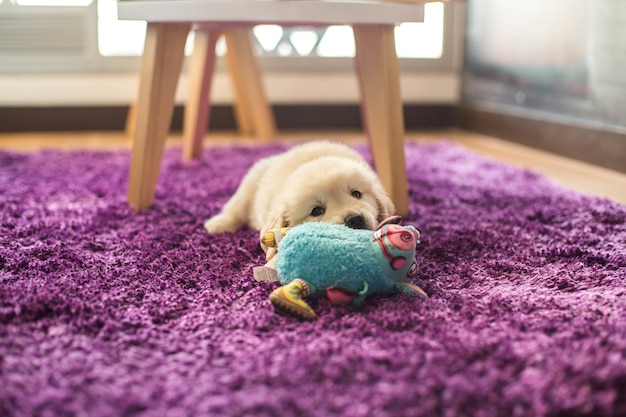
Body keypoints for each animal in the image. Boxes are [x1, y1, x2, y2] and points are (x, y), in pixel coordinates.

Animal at [202, 140, 392, 264]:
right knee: (236, 207)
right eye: (316, 211)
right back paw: (219, 224)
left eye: (357, 194)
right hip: (251, 180)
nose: (354, 220)